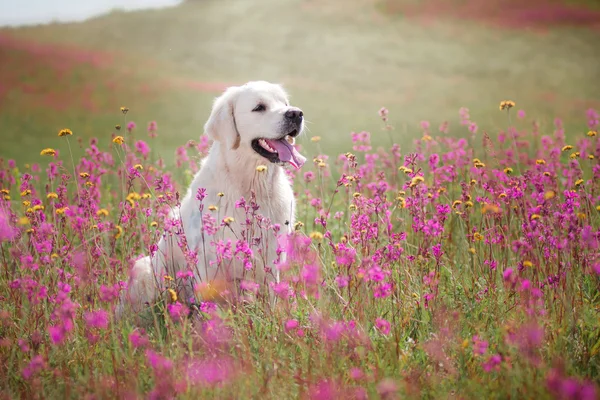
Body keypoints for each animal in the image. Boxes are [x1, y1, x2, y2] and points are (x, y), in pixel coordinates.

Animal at [118, 79, 304, 314]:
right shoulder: (208, 264)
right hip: (144, 269)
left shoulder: (272, 258)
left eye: (285, 103)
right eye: (259, 107)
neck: (250, 186)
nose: (296, 113)